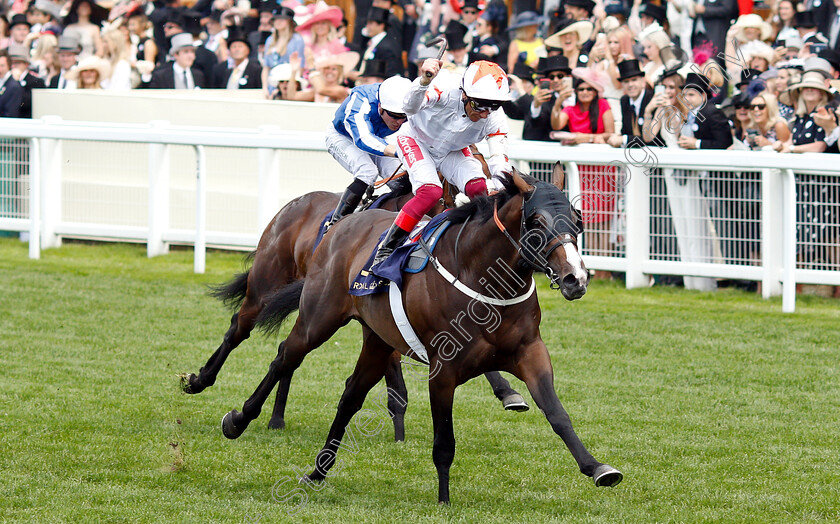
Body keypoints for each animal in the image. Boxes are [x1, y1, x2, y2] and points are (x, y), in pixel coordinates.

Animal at [221, 168, 624, 504]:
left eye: (578, 219)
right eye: (536, 221)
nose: (575, 278)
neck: (483, 277)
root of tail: (343, 224)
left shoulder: (530, 352)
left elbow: (557, 414)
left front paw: (598, 467)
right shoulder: (443, 369)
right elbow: (444, 439)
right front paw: (444, 499)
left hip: (377, 340)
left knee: (350, 397)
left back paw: (318, 471)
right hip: (314, 318)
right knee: (281, 356)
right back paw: (237, 417)